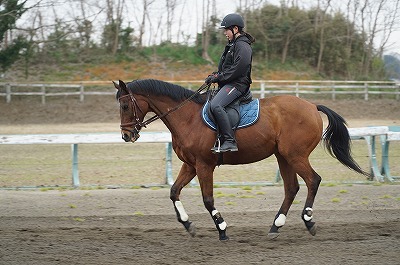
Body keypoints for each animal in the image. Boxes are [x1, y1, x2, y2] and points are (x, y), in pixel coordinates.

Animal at [112, 78, 368, 239]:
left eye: (124, 105)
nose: (126, 135)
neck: (187, 118)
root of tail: (312, 106)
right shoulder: (190, 165)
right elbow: (174, 191)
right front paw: (187, 224)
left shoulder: (204, 166)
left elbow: (208, 200)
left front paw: (222, 229)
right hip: (283, 157)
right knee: (291, 188)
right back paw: (275, 226)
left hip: (295, 155)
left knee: (313, 180)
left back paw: (308, 220)